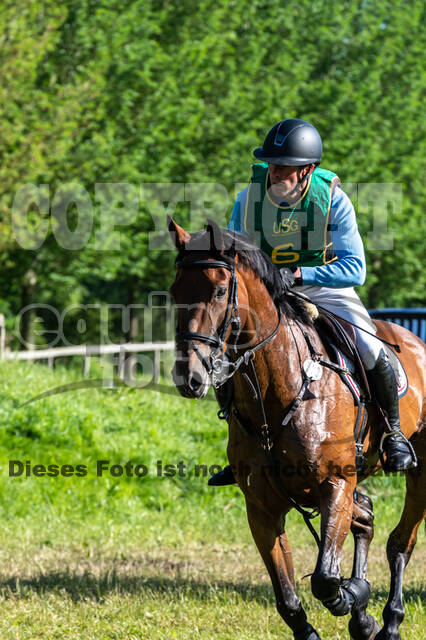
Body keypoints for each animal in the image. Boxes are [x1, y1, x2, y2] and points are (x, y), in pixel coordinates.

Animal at [168, 216, 425, 640]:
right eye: (175, 292)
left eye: (220, 291)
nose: (189, 377)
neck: (279, 390)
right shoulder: (262, 507)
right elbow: (288, 597)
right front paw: (352, 608)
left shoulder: (335, 484)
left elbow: (325, 579)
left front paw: (355, 597)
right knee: (366, 518)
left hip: (418, 471)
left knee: (401, 542)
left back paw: (388, 621)